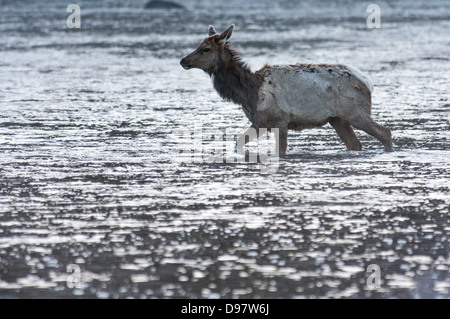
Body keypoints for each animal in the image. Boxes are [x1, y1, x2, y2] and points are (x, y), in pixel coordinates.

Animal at [179, 24, 394, 156]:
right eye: (199, 44)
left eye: (206, 49)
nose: (183, 60)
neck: (249, 92)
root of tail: (367, 82)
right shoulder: (260, 122)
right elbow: (237, 143)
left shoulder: (280, 120)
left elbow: (280, 150)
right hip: (337, 118)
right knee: (355, 143)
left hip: (355, 111)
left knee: (385, 132)